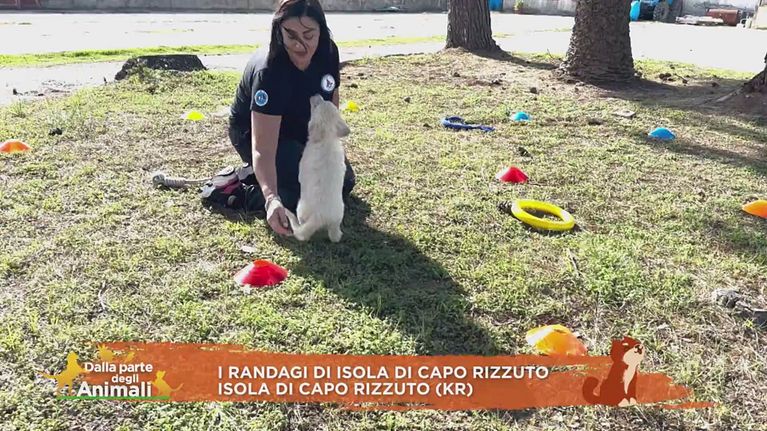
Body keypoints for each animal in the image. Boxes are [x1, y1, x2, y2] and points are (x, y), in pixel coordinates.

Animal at [285, 94, 350, 242]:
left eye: (315, 106)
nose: (315, 94)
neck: (327, 138)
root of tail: (320, 216)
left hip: (300, 208)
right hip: (337, 218)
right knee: (335, 236)